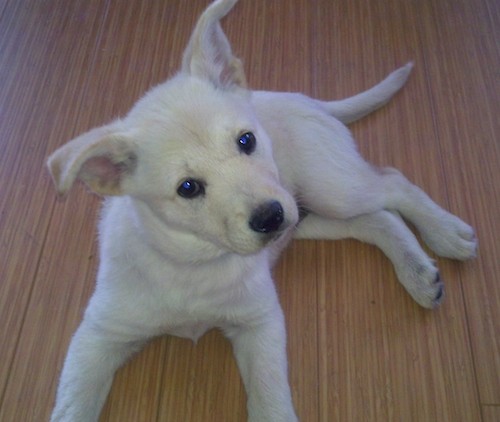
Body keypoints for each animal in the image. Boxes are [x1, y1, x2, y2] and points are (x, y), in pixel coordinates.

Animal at [47, 0, 476, 422]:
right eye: (188, 188)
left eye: (246, 140)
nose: (270, 217)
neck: (196, 266)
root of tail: (301, 98)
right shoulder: (98, 335)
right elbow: (71, 404)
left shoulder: (261, 322)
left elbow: (270, 398)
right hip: (307, 217)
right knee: (377, 219)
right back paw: (419, 273)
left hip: (329, 189)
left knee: (394, 184)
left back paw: (446, 233)